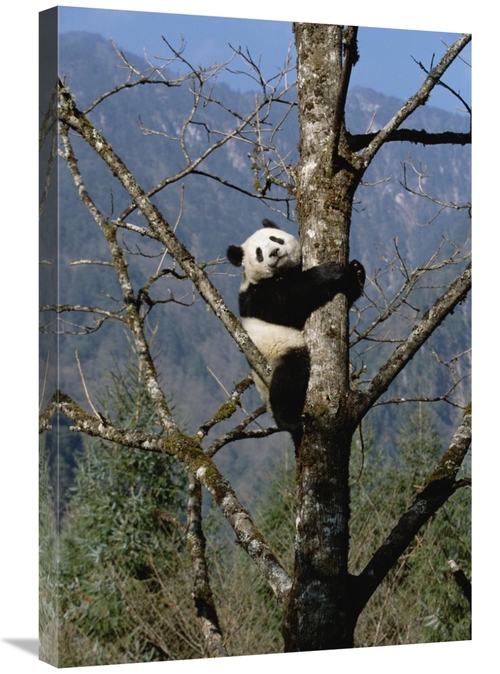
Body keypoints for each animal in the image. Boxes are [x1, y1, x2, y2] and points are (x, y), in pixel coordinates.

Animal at [227, 218, 365, 446]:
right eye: (259, 253)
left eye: (276, 238)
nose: (274, 252)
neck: (283, 273)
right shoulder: (256, 297)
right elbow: (288, 302)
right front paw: (328, 272)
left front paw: (356, 270)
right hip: (279, 348)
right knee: (289, 377)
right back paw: (290, 421)